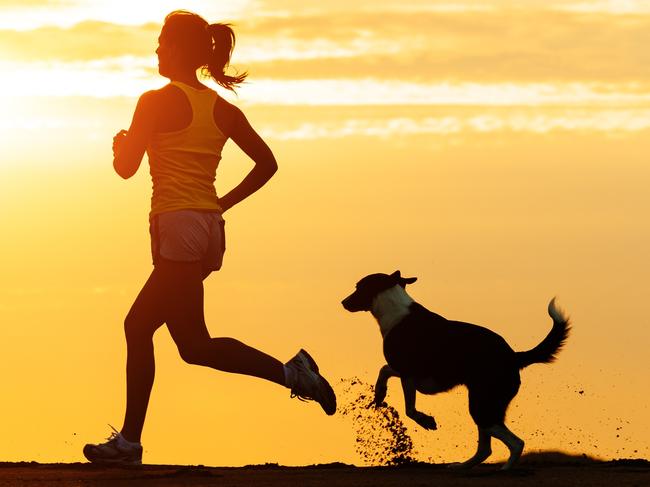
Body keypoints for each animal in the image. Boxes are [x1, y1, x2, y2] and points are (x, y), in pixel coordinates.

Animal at [340, 270, 568, 468]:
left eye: (359, 287)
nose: (343, 302)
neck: (395, 309)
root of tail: (514, 356)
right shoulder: (409, 374)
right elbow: (385, 371)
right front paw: (379, 394)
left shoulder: (409, 373)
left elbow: (409, 408)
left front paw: (425, 421)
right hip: (483, 404)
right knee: (486, 449)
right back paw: (462, 466)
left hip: (481, 405)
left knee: (515, 443)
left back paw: (504, 469)